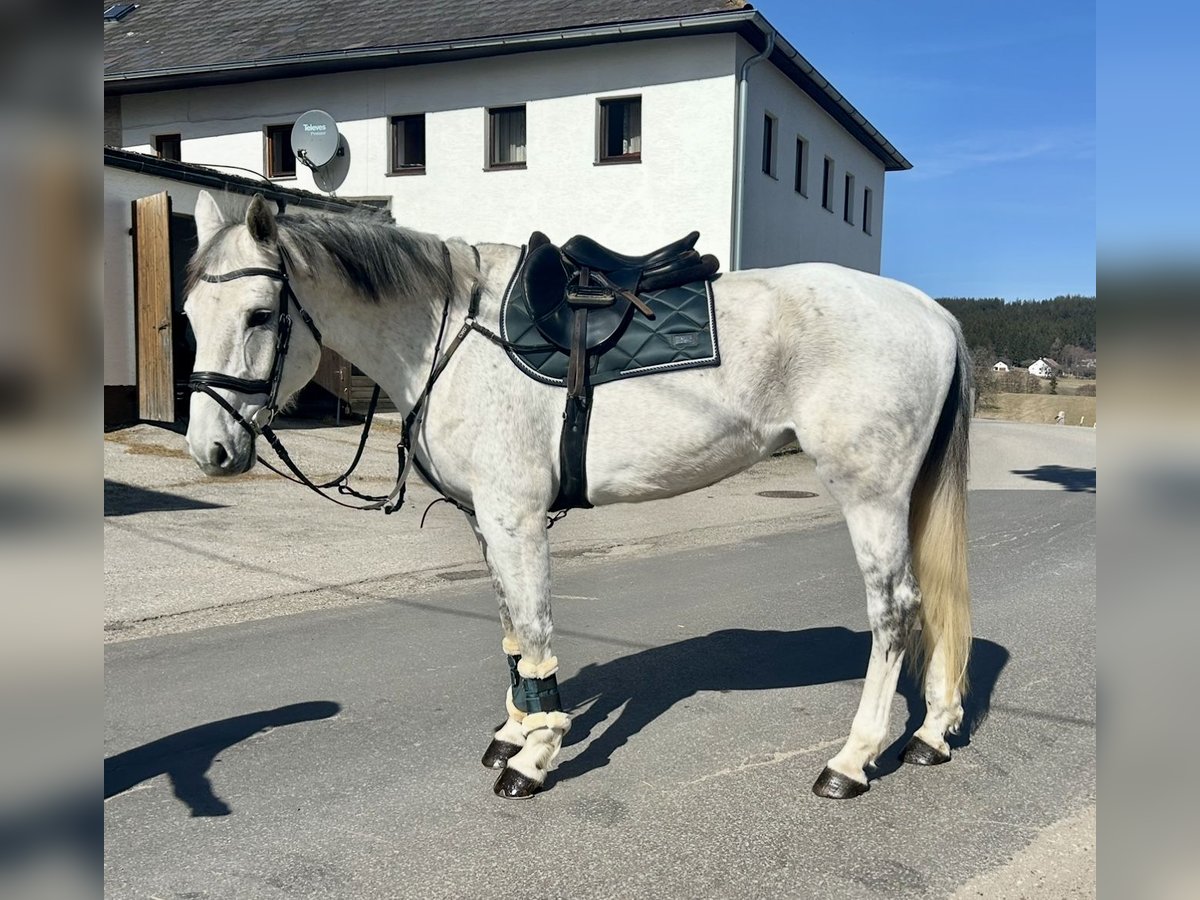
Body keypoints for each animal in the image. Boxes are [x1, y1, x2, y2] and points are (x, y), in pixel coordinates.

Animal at [182, 192, 969, 801]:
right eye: (188, 314)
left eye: (259, 315)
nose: (209, 451)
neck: (451, 334)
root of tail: (930, 312)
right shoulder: (485, 522)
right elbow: (509, 630)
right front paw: (514, 731)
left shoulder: (515, 517)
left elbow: (534, 630)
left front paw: (535, 755)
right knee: (932, 602)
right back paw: (931, 734)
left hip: (871, 497)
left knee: (895, 612)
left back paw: (852, 760)